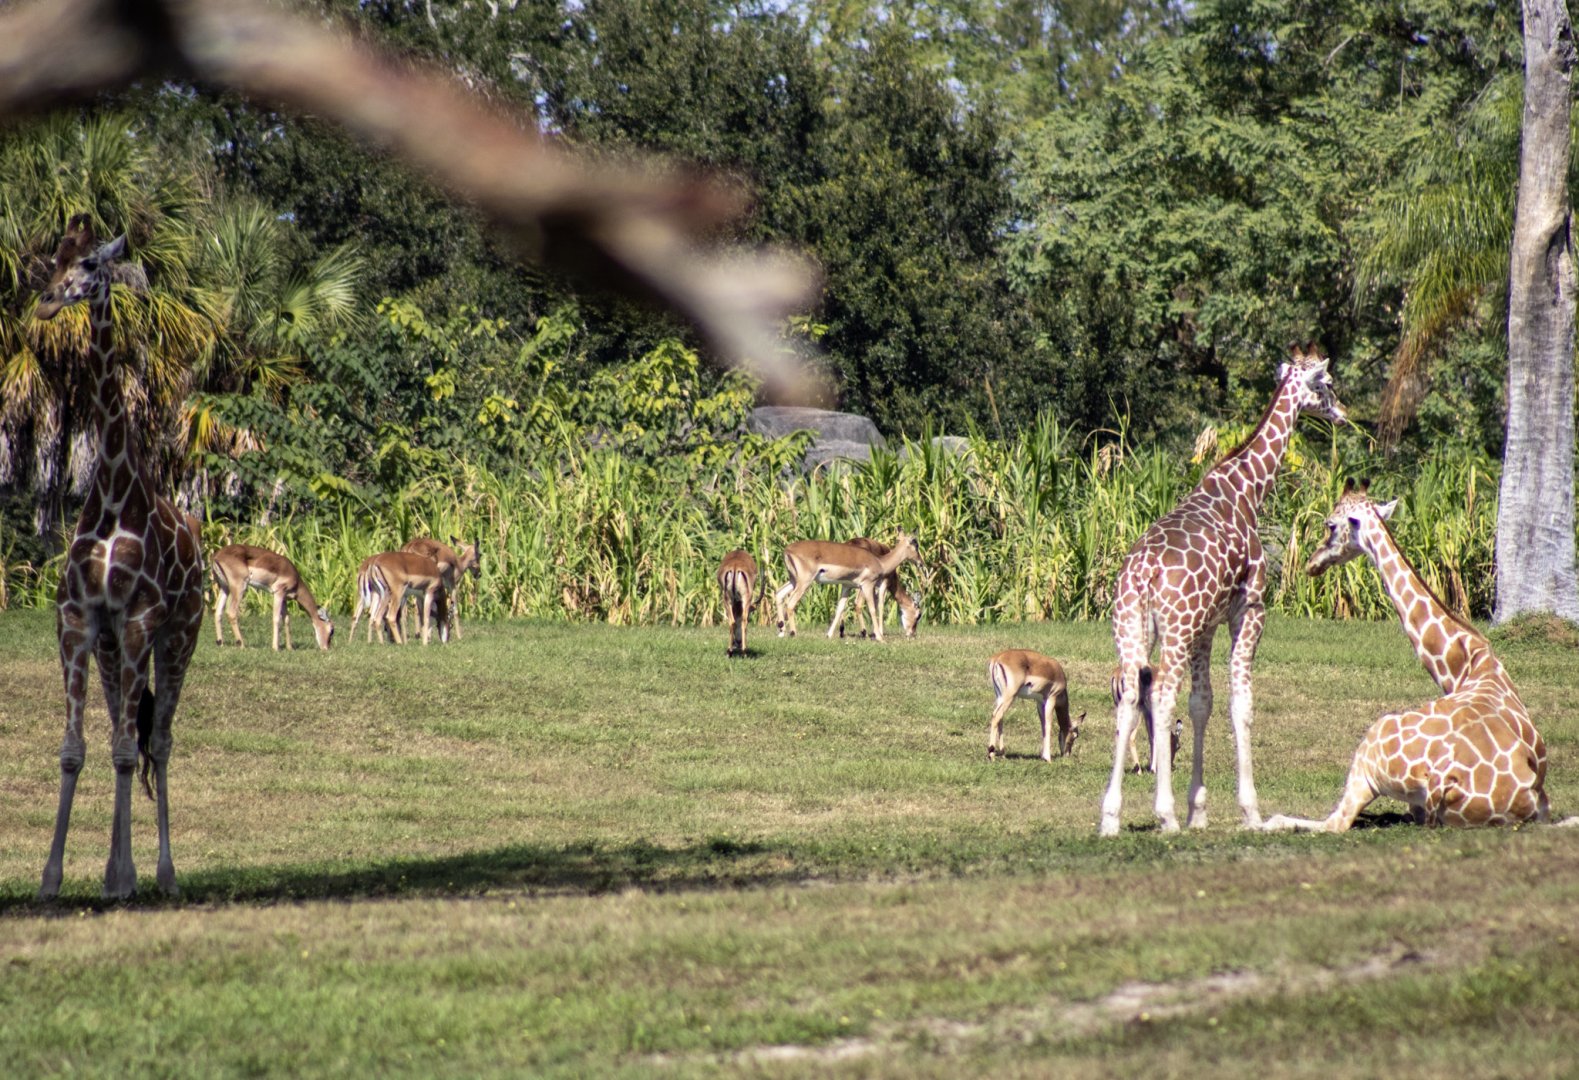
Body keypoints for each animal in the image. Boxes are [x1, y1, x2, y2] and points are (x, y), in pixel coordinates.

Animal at [774, 532, 923, 643]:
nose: (921, 562)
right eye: (915, 545)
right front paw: (880, 638)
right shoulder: (868, 585)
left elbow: (839, 608)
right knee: (791, 603)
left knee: (779, 593)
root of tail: (787, 550)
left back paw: (781, 632)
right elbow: (873, 608)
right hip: (804, 582)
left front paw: (829, 635)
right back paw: (793, 633)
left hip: (794, 580)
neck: (880, 562)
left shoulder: (847, 586)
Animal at [1100, 346, 1348, 836]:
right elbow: (1241, 703)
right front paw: (1249, 811)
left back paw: (1111, 816)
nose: (1343, 414)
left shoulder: (1206, 626)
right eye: (1326, 383)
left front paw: (1199, 810)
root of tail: (1142, 575)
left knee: (1130, 696)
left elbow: (1202, 703)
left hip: (1131, 628)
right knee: (1160, 696)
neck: (1247, 490)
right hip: (1174, 632)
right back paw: (1164, 814)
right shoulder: (1249, 609)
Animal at [1262, 481, 1549, 831]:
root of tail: (1445, 780)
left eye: (1331, 524)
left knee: (1335, 822)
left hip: (1371, 745)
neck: (1469, 663)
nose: (1311, 563)